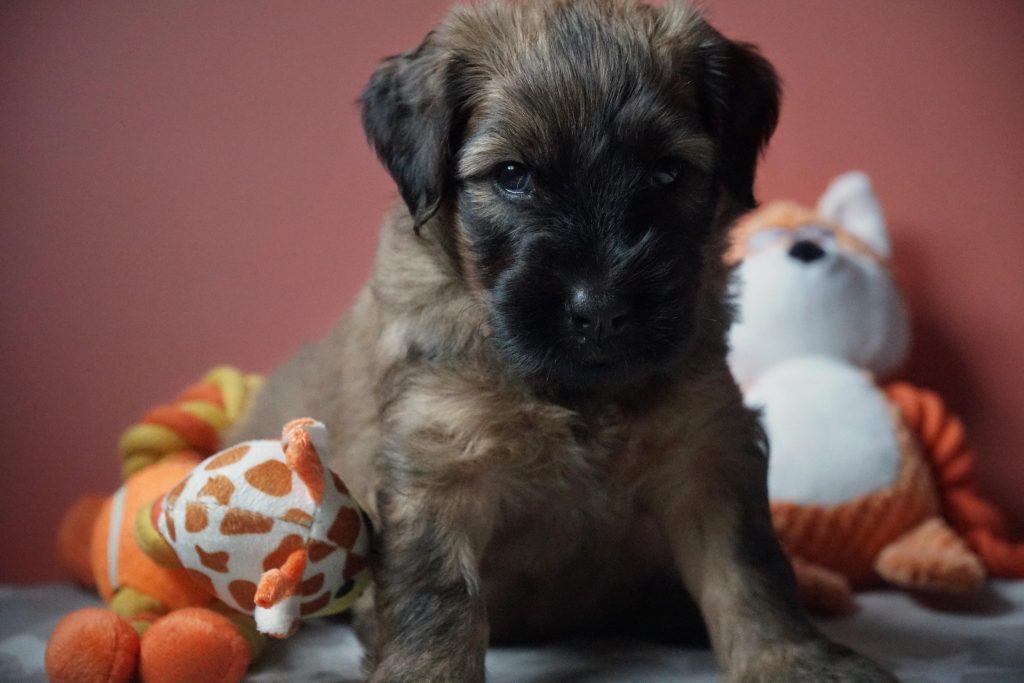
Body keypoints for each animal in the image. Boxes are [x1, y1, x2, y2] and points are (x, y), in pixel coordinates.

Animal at [227, 1, 895, 680]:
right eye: (512, 175)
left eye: (667, 172)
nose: (599, 312)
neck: (575, 392)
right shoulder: (440, 463)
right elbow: (436, 591)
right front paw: (427, 669)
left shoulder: (708, 451)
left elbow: (749, 571)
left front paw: (794, 658)